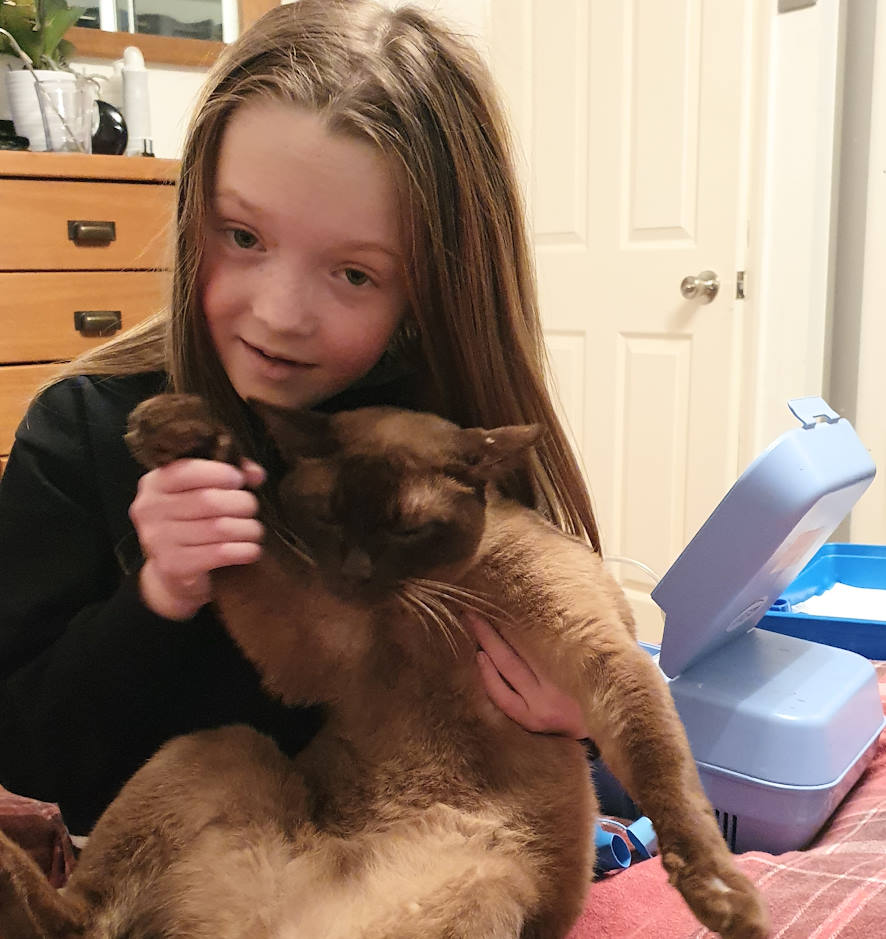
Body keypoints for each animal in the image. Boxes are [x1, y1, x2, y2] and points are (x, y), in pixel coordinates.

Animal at [0, 394, 772, 939]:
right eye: (328, 516)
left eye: (407, 528)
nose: (354, 574)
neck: (432, 602)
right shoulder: (316, 633)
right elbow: (244, 520)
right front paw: (180, 436)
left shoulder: (599, 657)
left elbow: (666, 775)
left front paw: (726, 902)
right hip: (220, 745)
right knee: (77, 915)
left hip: (485, 876)